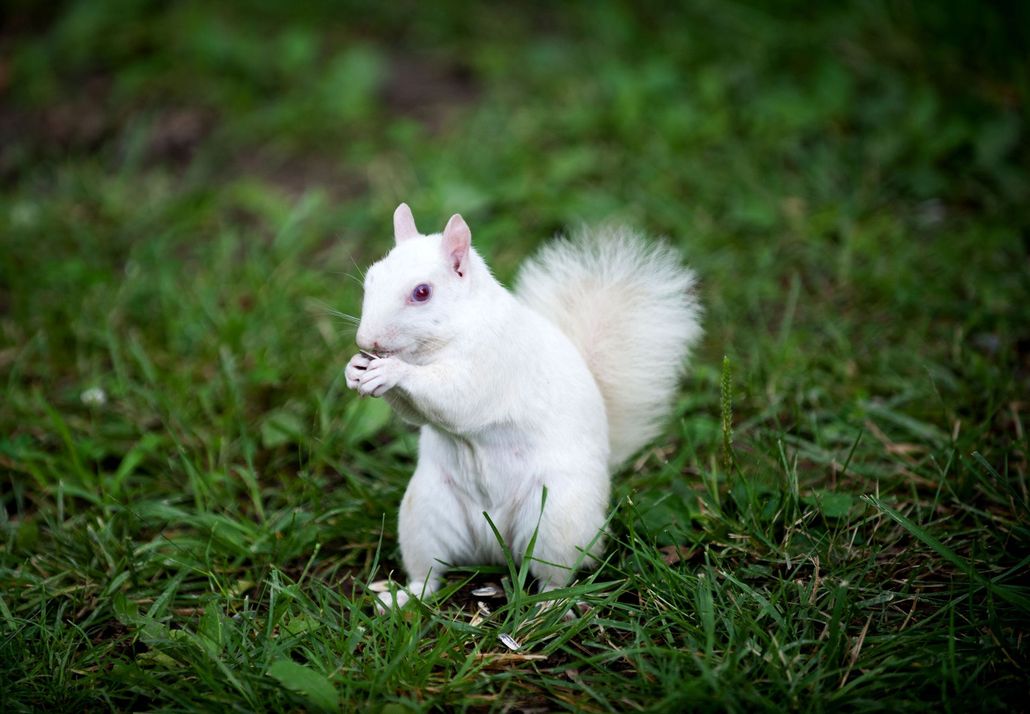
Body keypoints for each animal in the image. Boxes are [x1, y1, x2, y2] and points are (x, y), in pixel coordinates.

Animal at [345, 203, 702, 610]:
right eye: (371, 278)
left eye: (422, 292)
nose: (366, 341)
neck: (439, 343)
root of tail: (493, 543)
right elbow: (416, 413)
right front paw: (354, 369)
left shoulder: (494, 362)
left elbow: (457, 399)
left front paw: (392, 371)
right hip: (424, 513)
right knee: (430, 571)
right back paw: (405, 597)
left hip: (556, 519)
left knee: (554, 574)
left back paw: (549, 605)